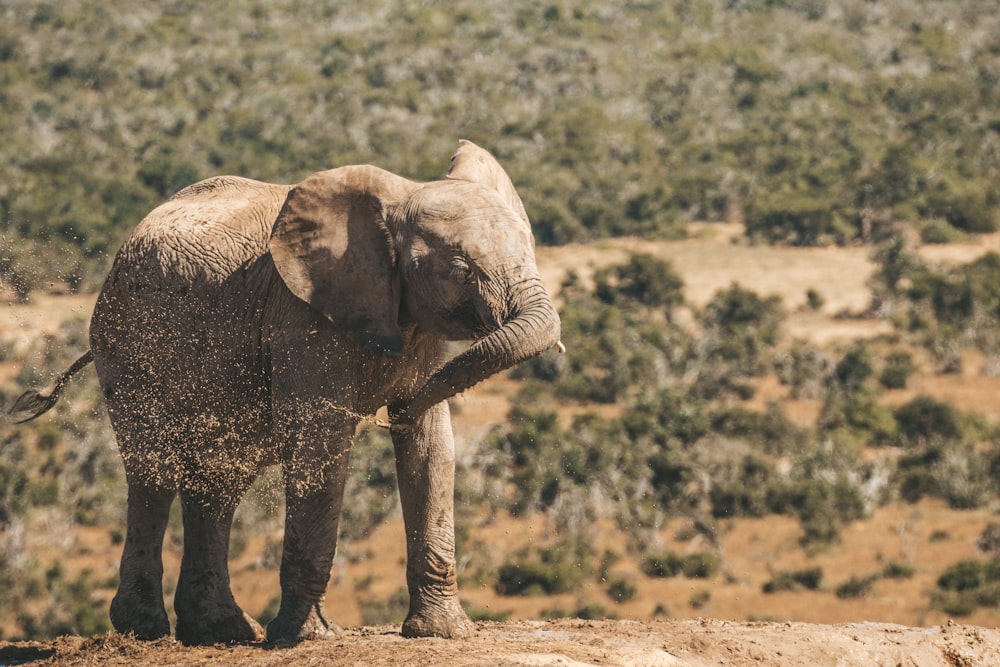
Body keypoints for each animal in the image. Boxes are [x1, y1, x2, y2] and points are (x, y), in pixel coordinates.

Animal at [11, 141, 564, 648]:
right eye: (462, 270)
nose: (390, 415)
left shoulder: (417, 332)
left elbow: (432, 451)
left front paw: (441, 633)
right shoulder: (302, 321)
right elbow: (320, 445)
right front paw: (306, 637)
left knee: (218, 483)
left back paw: (222, 632)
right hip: (128, 346)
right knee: (153, 474)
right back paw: (144, 631)